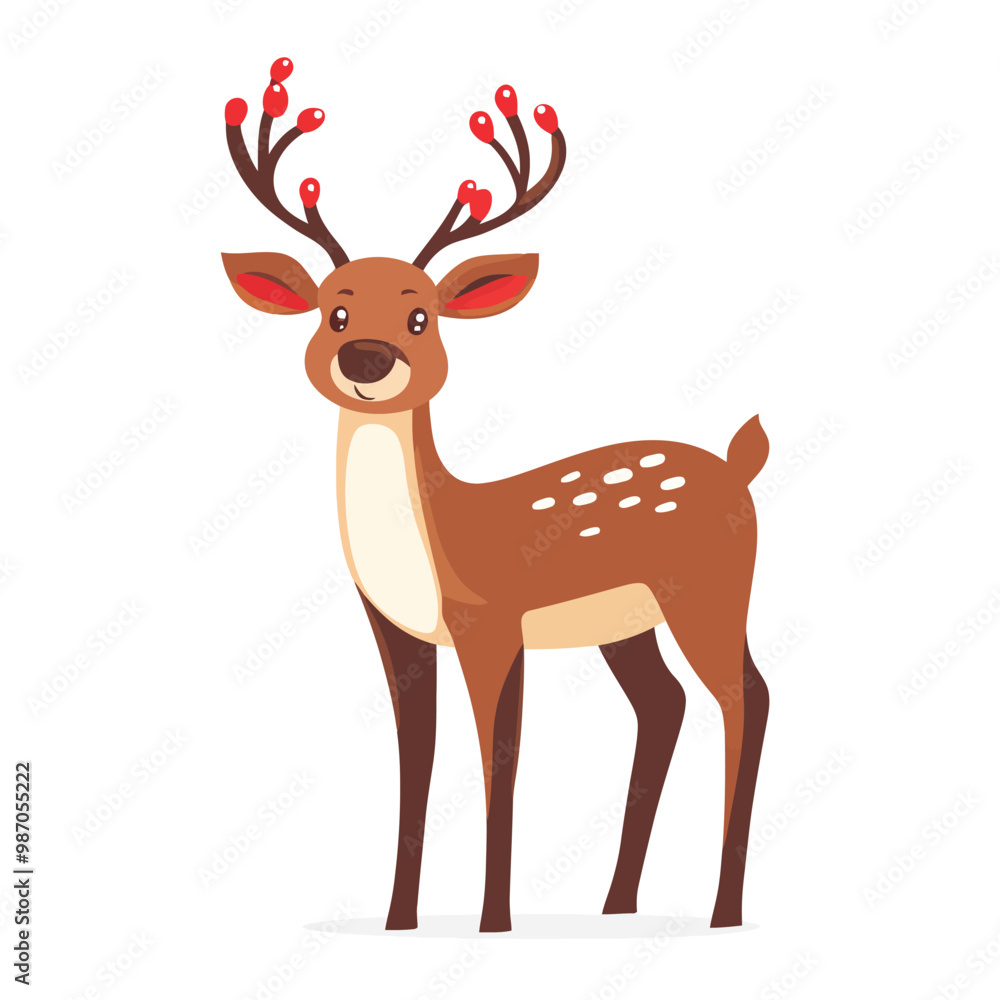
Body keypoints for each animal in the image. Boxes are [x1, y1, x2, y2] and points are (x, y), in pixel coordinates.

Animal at [221, 59, 770, 934]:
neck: (432, 545)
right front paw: (399, 919)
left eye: (422, 316)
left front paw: (493, 920)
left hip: (710, 590)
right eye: (333, 310)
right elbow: (415, 763)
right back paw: (617, 903)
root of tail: (741, 466)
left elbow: (497, 762)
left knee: (745, 696)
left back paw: (723, 910)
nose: (367, 357)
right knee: (666, 705)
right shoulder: (398, 634)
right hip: (630, 623)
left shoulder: (493, 622)